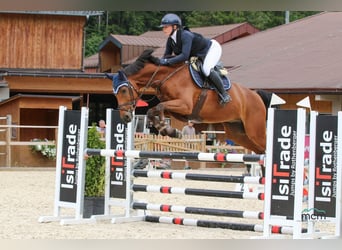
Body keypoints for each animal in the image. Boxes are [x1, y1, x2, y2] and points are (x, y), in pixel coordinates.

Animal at [108, 49, 272, 154]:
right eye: (114, 93)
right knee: (259, 150)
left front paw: (166, 128)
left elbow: (158, 107)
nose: (125, 117)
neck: (167, 76)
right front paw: (169, 130)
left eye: (123, 90)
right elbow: (153, 110)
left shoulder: (185, 106)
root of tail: (255, 95)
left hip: (254, 130)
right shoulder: (178, 110)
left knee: (265, 146)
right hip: (237, 132)